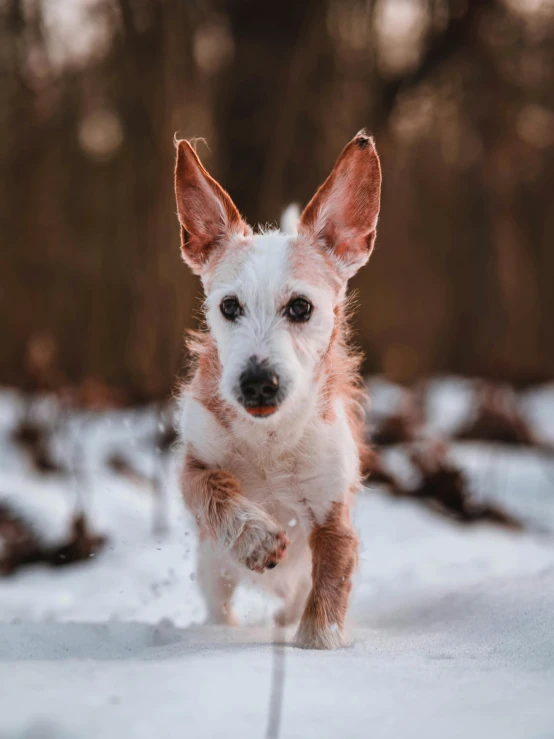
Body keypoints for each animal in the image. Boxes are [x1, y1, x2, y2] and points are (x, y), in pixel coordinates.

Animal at [172, 130, 380, 652]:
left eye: (301, 307)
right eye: (229, 306)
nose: (257, 382)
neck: (270, 440)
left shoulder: (333, 518)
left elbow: (329, 590)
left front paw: (317, 646)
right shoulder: (194, 462)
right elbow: (212, 491)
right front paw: (256, 537)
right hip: (211, 571)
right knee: (219, 605)